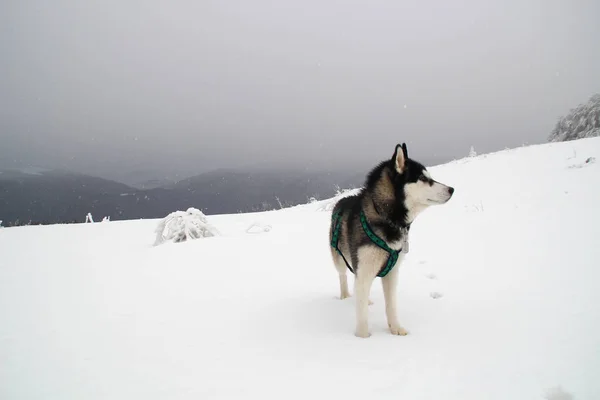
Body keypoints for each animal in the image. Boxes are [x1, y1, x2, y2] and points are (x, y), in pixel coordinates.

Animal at [330, 143, 452, 338]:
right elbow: (361, 312)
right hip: (340, 259)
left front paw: (395, 328)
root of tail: (341, 200)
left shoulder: (391, 272)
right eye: (423, 178)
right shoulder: (364, 269)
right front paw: (362, 337)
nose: (452, 189)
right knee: (343, 276)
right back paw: (345, 296)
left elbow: (391, 305)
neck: (384, 216)